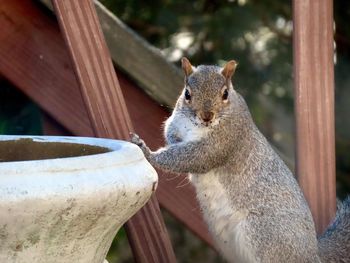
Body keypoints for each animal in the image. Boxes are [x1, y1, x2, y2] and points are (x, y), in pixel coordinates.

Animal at [131, 57, 350, 263]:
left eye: (225, 94)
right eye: (187, 93)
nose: (207, 116)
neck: (196, 126)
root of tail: (313, 255)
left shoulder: (224, 141)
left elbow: (193, 158)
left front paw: (147, 153)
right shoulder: (175, 126)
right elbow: (172, 138)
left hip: (262, 236)